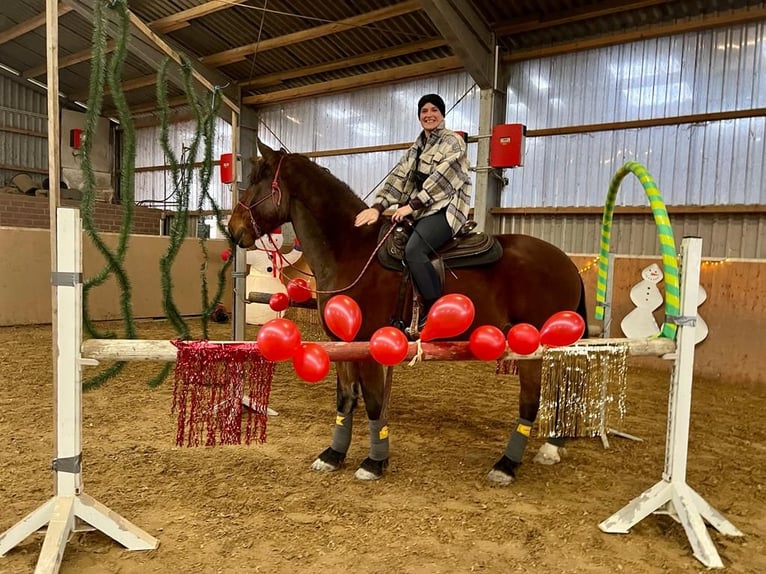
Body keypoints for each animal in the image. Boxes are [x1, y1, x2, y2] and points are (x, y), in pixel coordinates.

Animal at [228, 141, 588, 486]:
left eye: (256, 182)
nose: (232, 230)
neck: (351, 250)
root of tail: (566, 263)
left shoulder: (369, 346)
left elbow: (374, 403)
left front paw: (374, 462)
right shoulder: (344, 345)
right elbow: (346, 399)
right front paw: (333, 455)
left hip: (532, 348)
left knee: (532, 399)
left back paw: (507, 465)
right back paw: (552, 446)